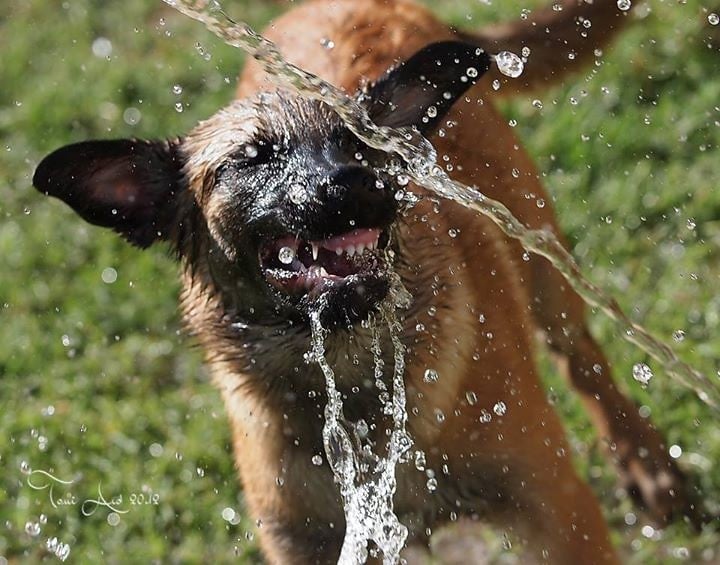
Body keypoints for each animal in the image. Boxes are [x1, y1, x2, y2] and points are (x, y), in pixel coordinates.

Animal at [32, 0, 696, 560]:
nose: (356, 184)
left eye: (357, 140)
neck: (352, 379)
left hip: (541, 256)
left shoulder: (555, 507)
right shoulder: (305, 541)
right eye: (250, 159)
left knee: (581, 358)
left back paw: (647, 464)